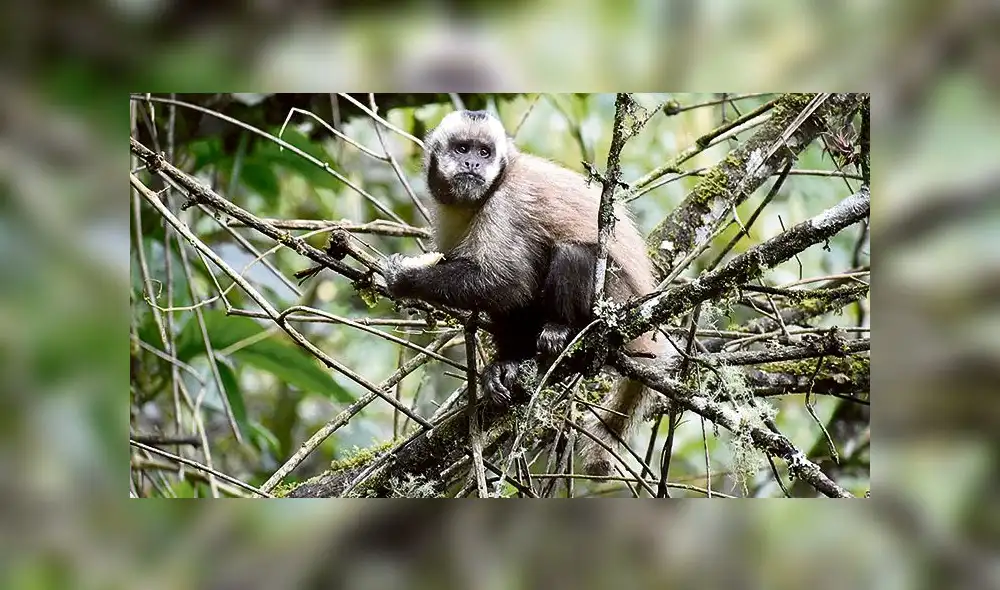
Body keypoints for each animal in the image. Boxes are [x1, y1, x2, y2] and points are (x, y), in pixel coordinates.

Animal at [382, 109, 667, 475]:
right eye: (462, 149)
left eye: (484, 153)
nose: (472, 164)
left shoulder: (506, 203)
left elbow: (508, 281)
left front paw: (406, 278)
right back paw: (510, 363)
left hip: (617, 299)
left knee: (570, 252)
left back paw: (562, 330)